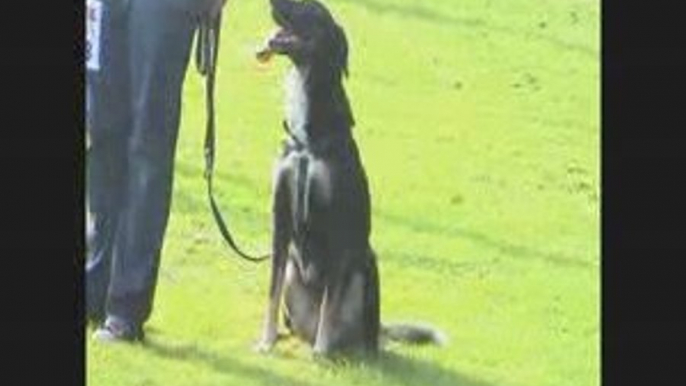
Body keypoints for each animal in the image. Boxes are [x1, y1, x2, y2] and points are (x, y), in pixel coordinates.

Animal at [255, 0, 444, 356]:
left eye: (312, 9)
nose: (271, 3)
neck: (308, 143)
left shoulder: (338, 227)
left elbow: (330, 300)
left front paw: (320, 352)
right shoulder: (280, 217)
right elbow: (271, 290)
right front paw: (266, 340)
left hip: (367, 264)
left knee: (360, 331)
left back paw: (349, 349)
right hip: (294, 274)